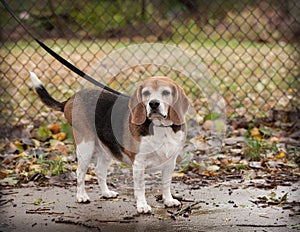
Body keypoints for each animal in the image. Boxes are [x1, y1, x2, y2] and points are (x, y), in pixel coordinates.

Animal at [31, 71, 190, 213]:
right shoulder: (139, 163)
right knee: (80, 172)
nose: (154, 104)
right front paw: (142, 206)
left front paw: (168, 200)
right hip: (85, 147)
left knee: (99, 171)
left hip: (106, 150)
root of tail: (71, 99)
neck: (160, 127)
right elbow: (141, 187)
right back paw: (81, 196)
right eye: (146, 93)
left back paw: (106, 193)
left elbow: (166, 184)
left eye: (166, 92)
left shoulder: (170, 163)